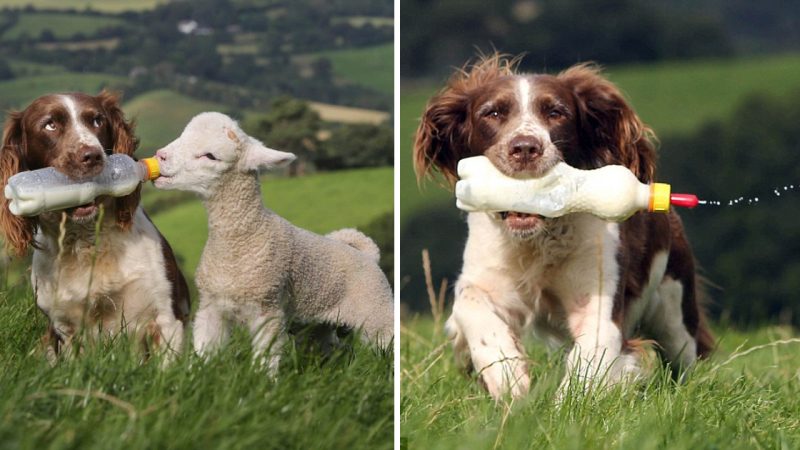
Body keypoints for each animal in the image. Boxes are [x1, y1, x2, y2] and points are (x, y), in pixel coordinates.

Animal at [0, 92, 190, 362]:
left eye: (98, 121)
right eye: (50, 125)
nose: (91, 156)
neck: (87, 241)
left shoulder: (165, 317)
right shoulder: (65, 329)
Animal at [152, 112, 394, 370]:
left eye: (210, 156)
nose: (160, 155)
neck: (241, 239)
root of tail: (369, 255)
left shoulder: (267, 309)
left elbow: (265, 360)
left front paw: (262, 380)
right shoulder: (211, 307)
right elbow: (205, 352)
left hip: (377, 315)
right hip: (317, 326)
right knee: (333, 350)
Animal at [412, 55, 712, 398]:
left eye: (556, 113)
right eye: (493, 112)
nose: (525, 148)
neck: (539, 239)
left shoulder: (599, 301)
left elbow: (589, 360)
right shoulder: (484, 275)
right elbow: (470, 305)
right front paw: (507, 376)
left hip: (675, 306)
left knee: (685, 354)